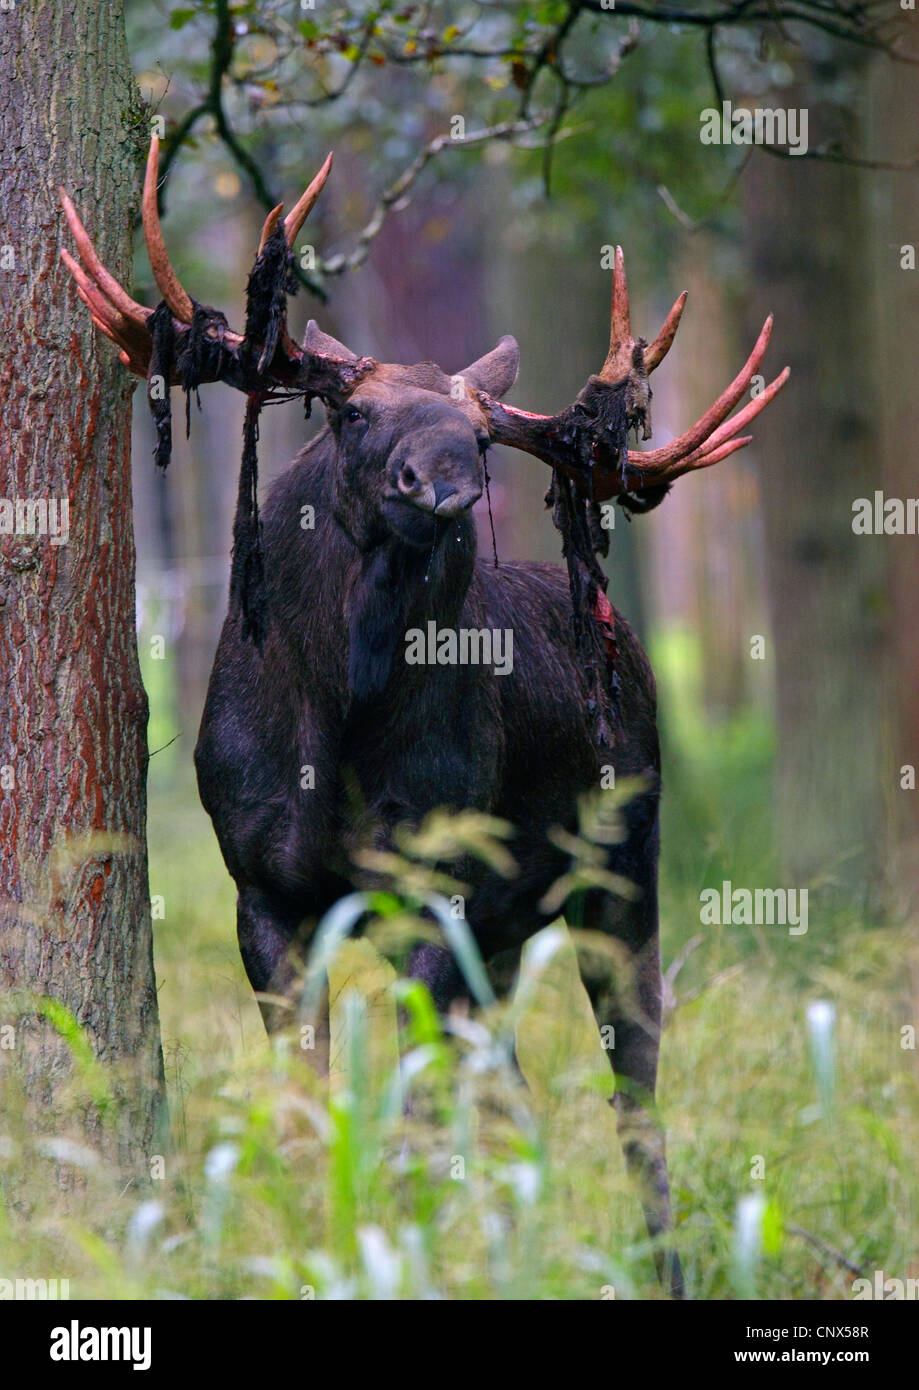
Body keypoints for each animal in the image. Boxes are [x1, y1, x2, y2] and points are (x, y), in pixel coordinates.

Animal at [60, 135, 784, 1295]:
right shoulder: (261, 884)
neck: (336, 727)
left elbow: (409, 1111)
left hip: (622, 869)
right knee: (513, 1088)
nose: (438, 482)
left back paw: (656, 1261)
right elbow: (310, 1105)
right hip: (510, 925)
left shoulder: (435, 885)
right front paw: (315, 1234)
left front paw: (405, 1244)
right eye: (352, 412)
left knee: (632, 1089)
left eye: (482, 438)